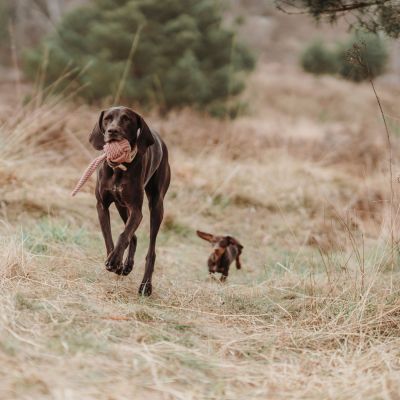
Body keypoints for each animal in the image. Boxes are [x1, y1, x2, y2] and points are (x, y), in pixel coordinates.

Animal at [89, 107, 170, 296]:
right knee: (134, 236)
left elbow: (123, 234)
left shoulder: (136, 210)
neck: (119, 168)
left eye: (126, 119)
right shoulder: (102, 206)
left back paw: (146, 285)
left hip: (156, 206)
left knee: (151, 251)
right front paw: (115, 261)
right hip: (121, 206)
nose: (112, 131)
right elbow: (109, 236)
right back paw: (126, 266)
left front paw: (115, 260)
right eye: (107, 118)